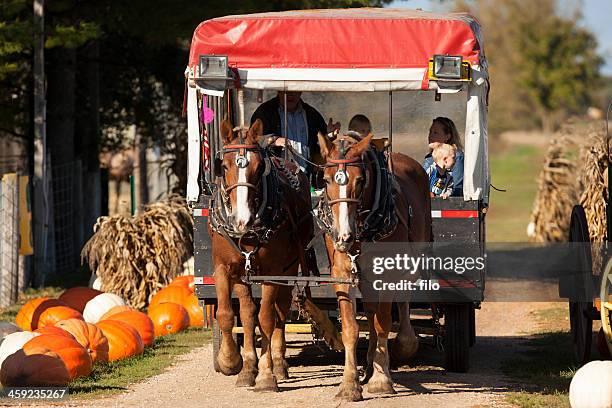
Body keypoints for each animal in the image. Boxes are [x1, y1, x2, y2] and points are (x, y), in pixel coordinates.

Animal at [210, 118, 328, 392]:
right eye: (224, 166)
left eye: (259, 166)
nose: (241, 220)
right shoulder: (225, 268)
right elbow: (229, 314)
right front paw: (232, 362)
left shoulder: (272, 273)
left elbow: (266, 317)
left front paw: (266, 374)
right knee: (248, 313)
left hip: (288, 268)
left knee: (279, 311)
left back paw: (279, 364)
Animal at [318, 131, 432, 402]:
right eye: (326, 180)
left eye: (360, 181)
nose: (344, 236)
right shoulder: (341, 273)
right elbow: (351, 327)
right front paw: (349, 384)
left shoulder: (387, 270)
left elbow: (383, 322)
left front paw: (381, 380)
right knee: (370, 310)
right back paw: (370, 363)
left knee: (401, 299)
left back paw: (402, 344)